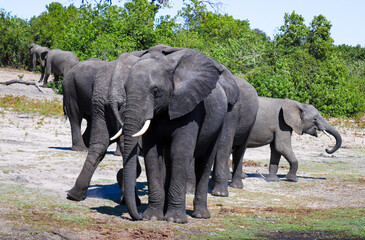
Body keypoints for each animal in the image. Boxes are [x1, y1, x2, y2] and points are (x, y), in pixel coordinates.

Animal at [111, 44, 240, 223]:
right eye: (125, 89)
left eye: (155, 90)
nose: (138, 216)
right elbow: (152, 154)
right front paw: (153, 217)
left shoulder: (190, 108)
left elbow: (180, 152)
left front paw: (174, 220)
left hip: (218, 122)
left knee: (204, 162)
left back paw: (200, 215)